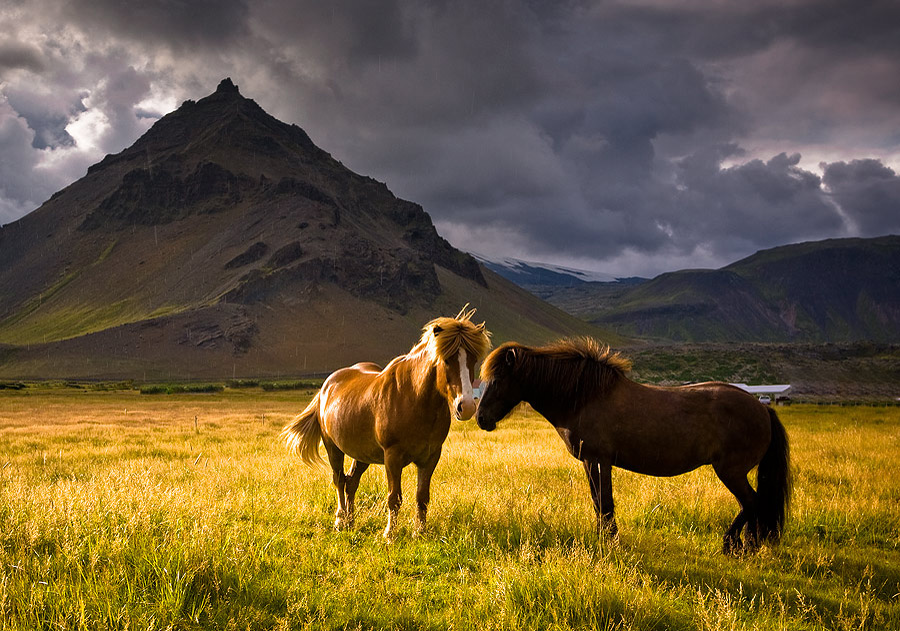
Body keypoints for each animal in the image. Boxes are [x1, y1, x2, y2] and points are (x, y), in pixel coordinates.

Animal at [284, 310, 488, 540]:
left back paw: (351, 522)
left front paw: (420, 532)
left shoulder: (431, 456)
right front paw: (390, 534)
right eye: (446, 360)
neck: (414, 397)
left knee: (351, 483)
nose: (467, 406)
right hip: (333, 447)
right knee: (339, 480)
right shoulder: (392, 456)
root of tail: (327, 385)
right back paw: (340, 521)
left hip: (362, 454)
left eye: (473, 359)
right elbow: (394, 497)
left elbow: (422, 496)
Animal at [474, 338, 792, 556]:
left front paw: (610, 541)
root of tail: (763, 409)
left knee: (751, 503)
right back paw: (747, 545)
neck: (583, 397)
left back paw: (731, 544)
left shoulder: (598, 460)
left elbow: (605, 503)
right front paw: (604, 538)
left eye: (498, 379)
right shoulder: (591, 462)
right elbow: (598, 503)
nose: (480, 418)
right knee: (751, 506)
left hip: (730, 471)